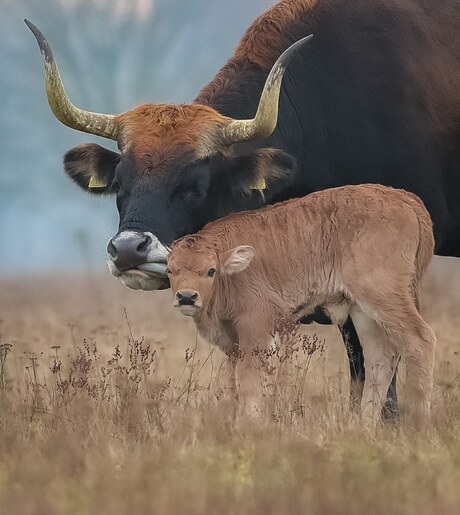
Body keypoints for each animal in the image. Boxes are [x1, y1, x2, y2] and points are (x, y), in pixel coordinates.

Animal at [167, 184, 436, 424]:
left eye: (210, 271)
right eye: (170, 270)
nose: (187, 297)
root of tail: (403, 198)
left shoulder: (256, 325)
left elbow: (250, 380)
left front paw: (249, 424)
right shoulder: (233, 343)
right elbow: (236, 382)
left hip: (383, 296)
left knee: (420, 339)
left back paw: (420, 422)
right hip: (363, 311)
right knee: (379, 358)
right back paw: (365, 424)